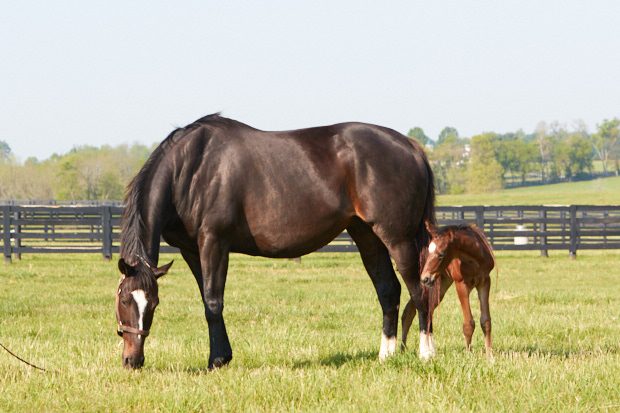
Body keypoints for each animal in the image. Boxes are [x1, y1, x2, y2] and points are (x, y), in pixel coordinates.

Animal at [116, 112, 436, 366]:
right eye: (124, 300)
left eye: (151, 304)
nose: (133, 360)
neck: (191, 169)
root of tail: (411, 147)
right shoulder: (192, 250)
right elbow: (207, 300)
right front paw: (222, 356)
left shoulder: (214, 243)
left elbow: (214, 301)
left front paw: (217, 360)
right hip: (367, 236)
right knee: (389, 290)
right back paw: (386, 356)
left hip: (398, 239)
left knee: (420, 290)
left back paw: (426, 353)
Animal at [402, 220, 494, 358]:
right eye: (429, 252)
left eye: (441, 254)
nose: (424, 278)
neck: (474, 259)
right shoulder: (461, 284)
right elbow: (468, 323)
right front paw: (468, 355)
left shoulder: (485, 282)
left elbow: (486, 321)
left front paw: (489, 356)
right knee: (416, 310)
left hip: (441, 285)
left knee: (418, 310)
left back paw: (405, 348)